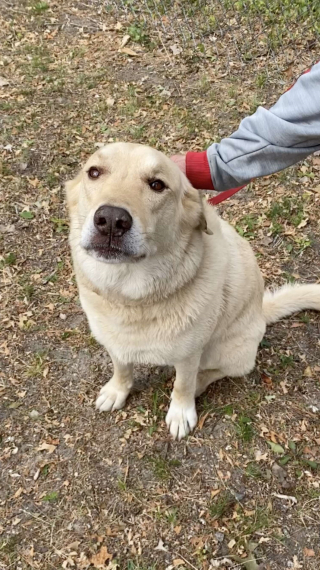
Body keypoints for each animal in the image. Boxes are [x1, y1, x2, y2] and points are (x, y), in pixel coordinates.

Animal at [65, 144, 320, 438]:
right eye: (94, 172)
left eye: (157, 184)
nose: (110, 220)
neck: (130, 298)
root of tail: (261, 312)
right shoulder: (114, 342)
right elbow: (121, 368)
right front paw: (117, 390)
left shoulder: (189, 354)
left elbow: (182, 385)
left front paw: (181, 413)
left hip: (229, 351)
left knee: (217, 371)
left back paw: (200, 383)